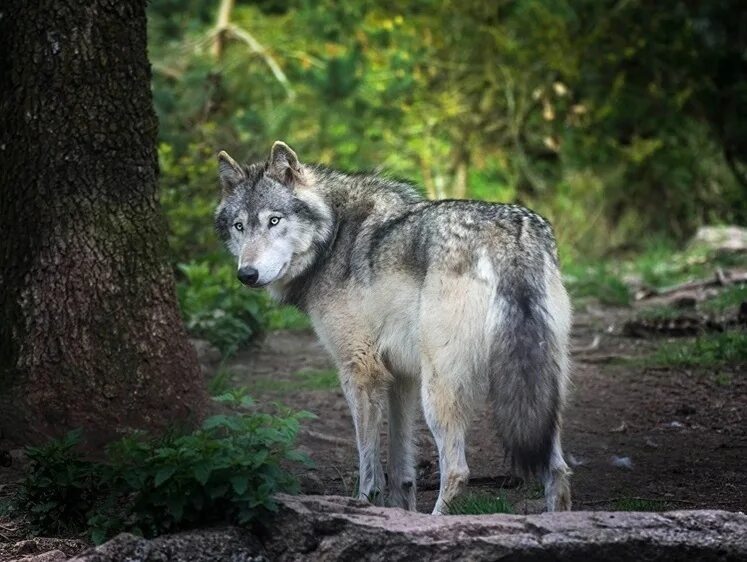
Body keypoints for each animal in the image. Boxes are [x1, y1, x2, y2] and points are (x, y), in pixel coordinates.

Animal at [213, 140, 576, 512]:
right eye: (239, 226)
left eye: (274, 221)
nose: (247, 274)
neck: (333, 236)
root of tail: (509, 235)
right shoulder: (401, 376)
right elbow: (401, 466)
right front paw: (400, 509)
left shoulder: (359, 371)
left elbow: (368, 464)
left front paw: (364, 504)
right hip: (541, 389)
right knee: (557, 469)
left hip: (439, 389)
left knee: (457, 470)